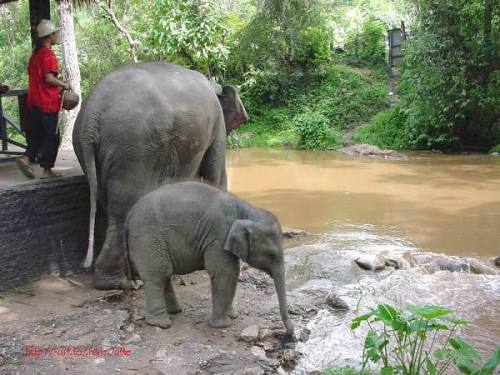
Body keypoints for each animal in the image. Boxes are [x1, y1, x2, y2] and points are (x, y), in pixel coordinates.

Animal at [72, 61, 248, 290]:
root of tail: (92, 114)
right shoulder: (216, 127)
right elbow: (215, 175)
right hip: (133, 146)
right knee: (123, 209)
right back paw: (121, 282)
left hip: (96, 151)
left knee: (106, 204)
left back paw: (127, 278)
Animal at [125, 181, 294, 334]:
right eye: (271, 254)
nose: (290, 334)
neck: (245, 209)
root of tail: (129, 214)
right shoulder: (218, 238)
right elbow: (225, 273)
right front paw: (221, 325)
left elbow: (232, 274)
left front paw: (233, 315)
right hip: (148, 239)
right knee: (158, 274)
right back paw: (161, 323)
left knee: (164, 273)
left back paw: (175, 311)